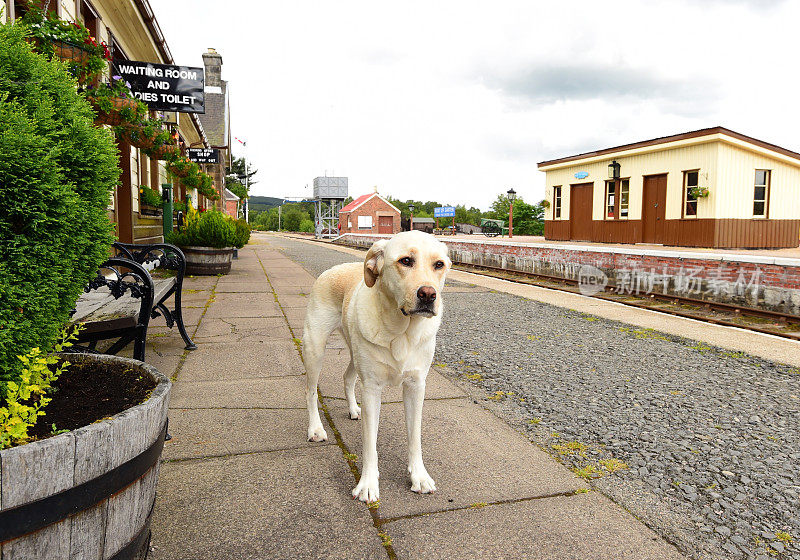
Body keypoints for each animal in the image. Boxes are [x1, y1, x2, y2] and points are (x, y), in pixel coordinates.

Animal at [302, 230, 450, 500]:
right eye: (405, 261)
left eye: (439, 264)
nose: (428, 294)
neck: (402, 331)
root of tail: (336, 268)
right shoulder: (371, 388)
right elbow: (370, 443)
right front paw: (368, 485)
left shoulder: (416, 386)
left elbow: (415, 437)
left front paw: (419, 476)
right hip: (314, 348)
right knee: (310, 391)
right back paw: (315, 429)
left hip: (353, 351)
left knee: (347, 377)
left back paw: (353, 409)